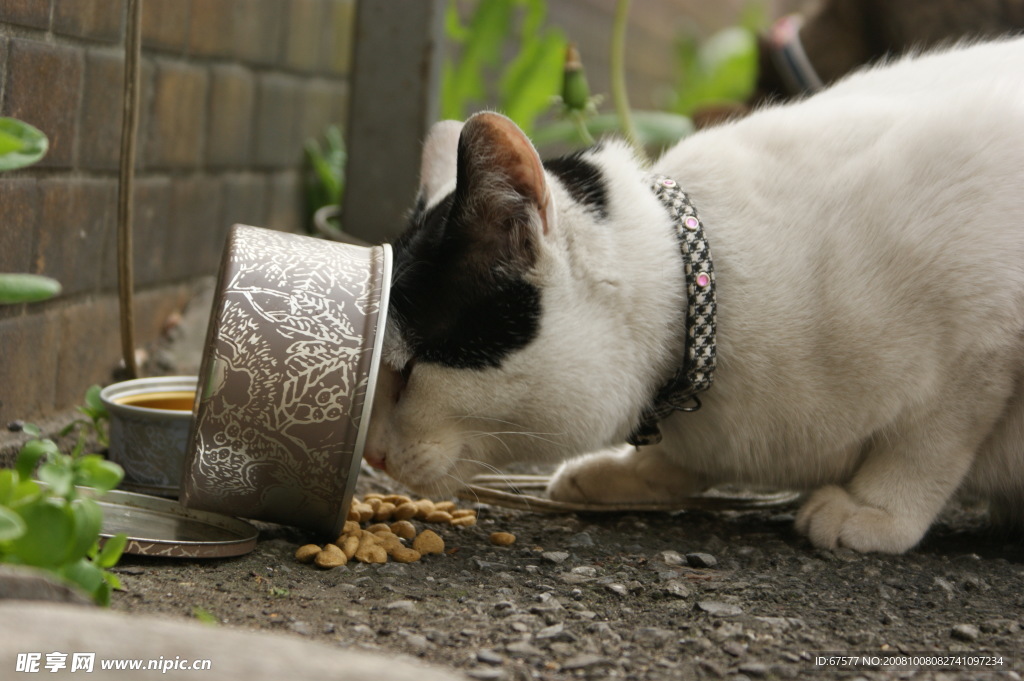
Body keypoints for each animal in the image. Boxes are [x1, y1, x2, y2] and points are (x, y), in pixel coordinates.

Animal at [364, 38, 1024, 552]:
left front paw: (878, 510)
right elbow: (682, 460)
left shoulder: (982, 345)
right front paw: (626, 474)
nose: (371, 456)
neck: (708, 304)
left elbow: (929, 443)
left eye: (411, 370)